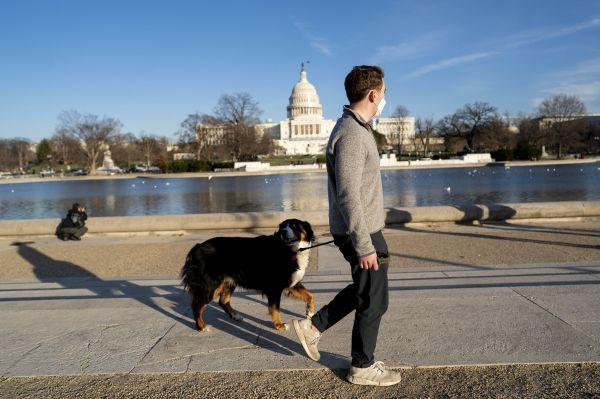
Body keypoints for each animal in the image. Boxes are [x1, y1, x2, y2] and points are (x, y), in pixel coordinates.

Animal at [180, 219, 316, 332]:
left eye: (294, 225)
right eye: (282, 226)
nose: (283, 232)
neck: (291, 250)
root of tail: (197, 246)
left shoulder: (292, 283)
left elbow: (310, 296)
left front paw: (309, 312)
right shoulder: (274, 288)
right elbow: (275, 308)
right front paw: (279, 325)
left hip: (228, 282)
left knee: (223, 301)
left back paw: (235, 316)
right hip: (211, 285)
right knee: (197, 305)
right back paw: (201, 326)